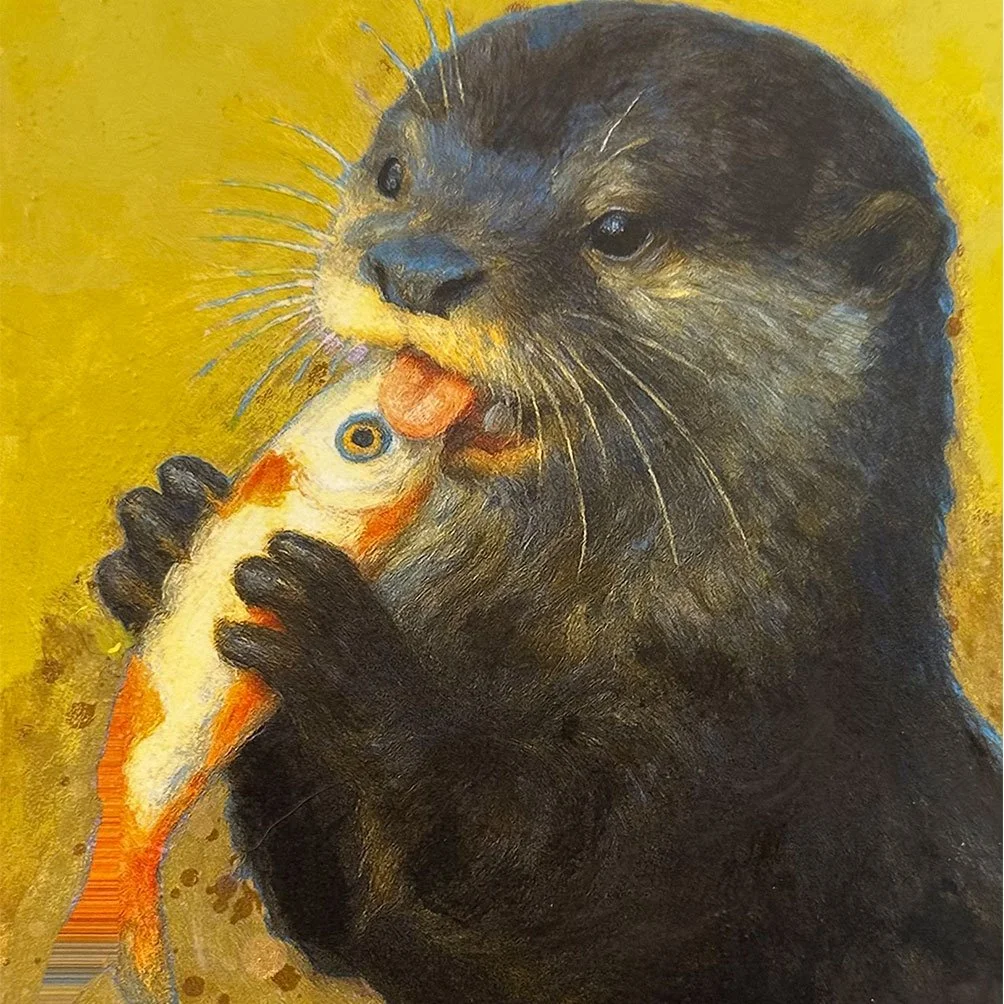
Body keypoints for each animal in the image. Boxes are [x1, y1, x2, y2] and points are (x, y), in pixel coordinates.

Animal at [95, 3, 1001, 1002]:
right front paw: (167, 537)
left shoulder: (748, 777)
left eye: (619, 228)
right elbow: (341, 911)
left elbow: (541, 883)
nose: (415, 269)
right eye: (393, 173)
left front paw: (341, 650)